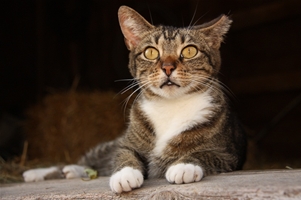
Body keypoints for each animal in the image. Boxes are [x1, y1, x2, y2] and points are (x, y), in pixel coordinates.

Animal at [22, 5, 246, 193]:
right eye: (151, 52)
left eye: (190, 50)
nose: (168, 67)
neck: (171, 106)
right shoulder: (127, 143)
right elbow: (124, 155)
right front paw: (124, 175)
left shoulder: (228, 154)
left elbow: (205, 153)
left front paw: (184, 166)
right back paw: (38, 172)